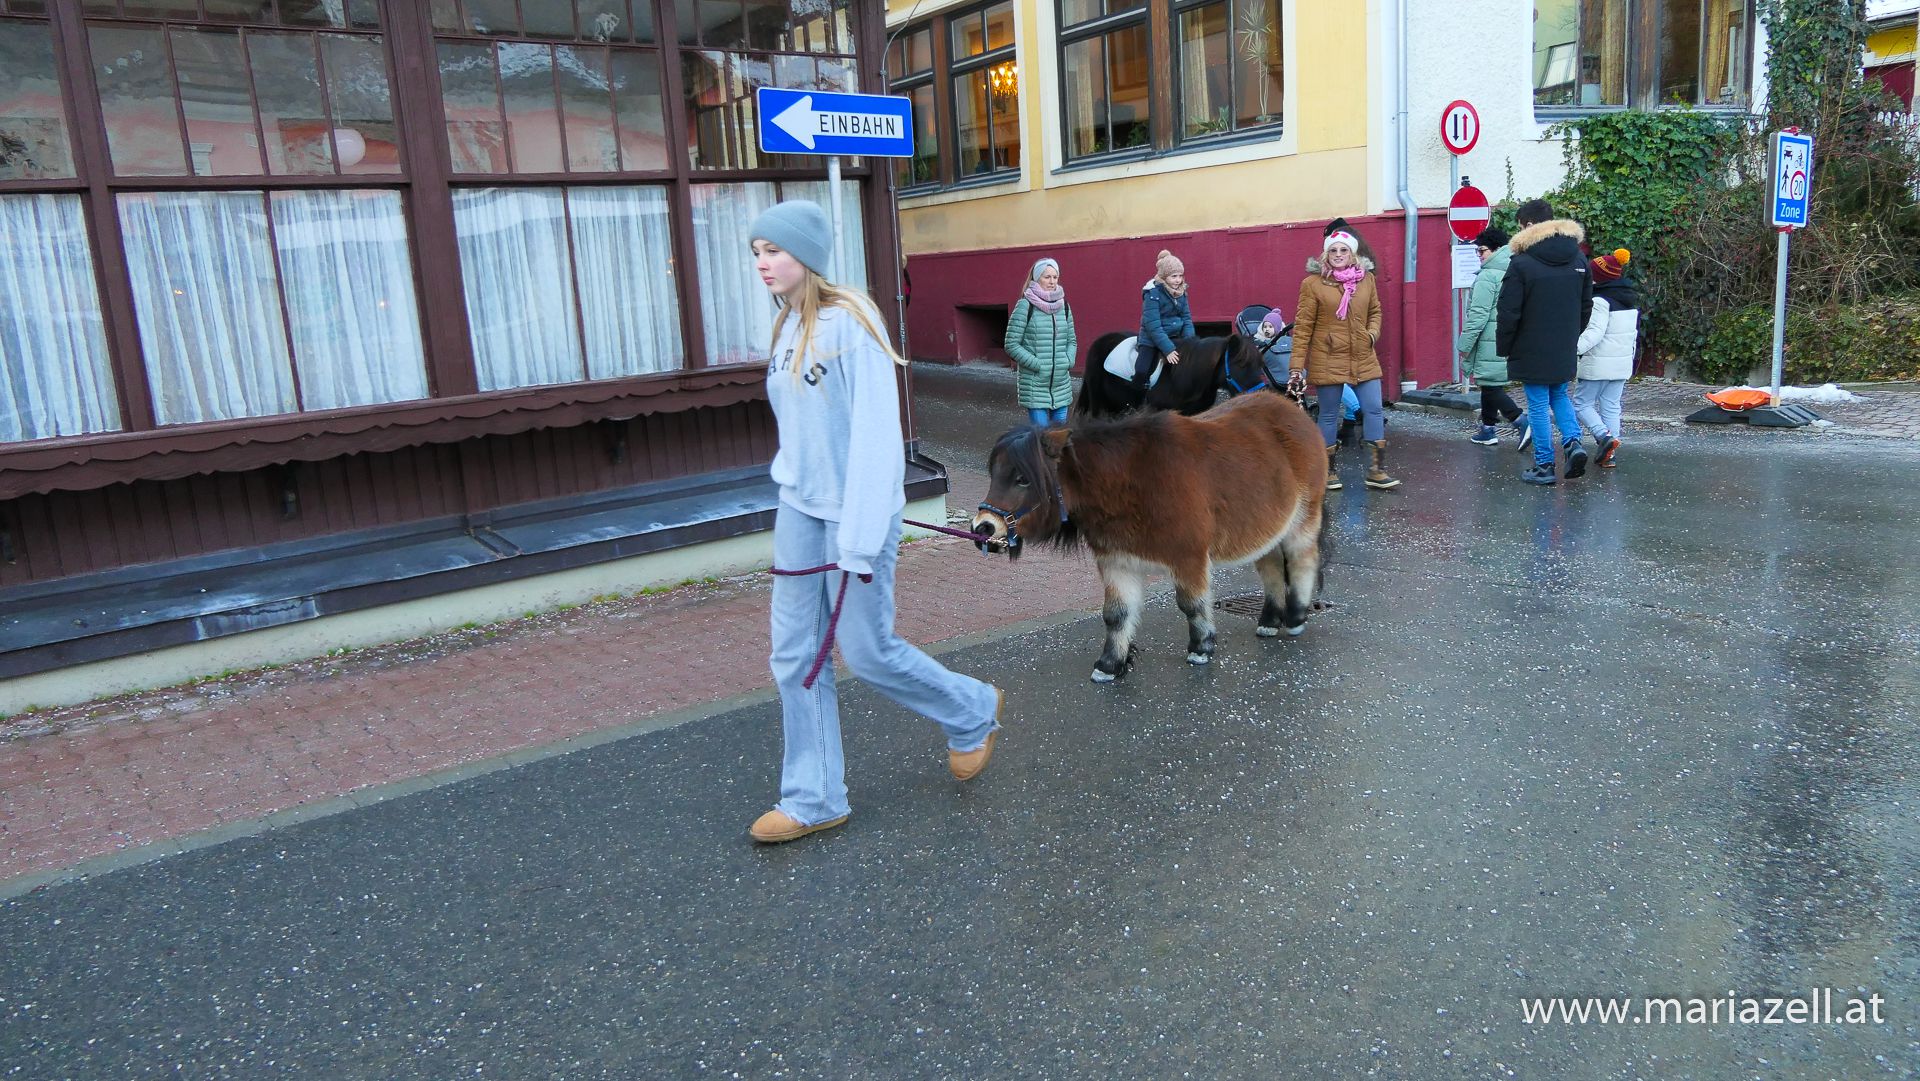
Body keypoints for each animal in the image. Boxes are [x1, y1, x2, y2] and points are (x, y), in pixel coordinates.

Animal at [973, 392, 1331, 683]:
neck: (1130, 481)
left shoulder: (1188, 558)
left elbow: (1191, 604)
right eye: (996, 474)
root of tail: (1295, 411)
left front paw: (1201, 647)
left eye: (1022, 479)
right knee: (1271, 567)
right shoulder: (1117, 562)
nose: (983, 528)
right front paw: (1110, 665)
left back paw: (1296, 617)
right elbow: (1116, 615)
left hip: (1303, 519)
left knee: (1302, 560)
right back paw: (1270, 620)